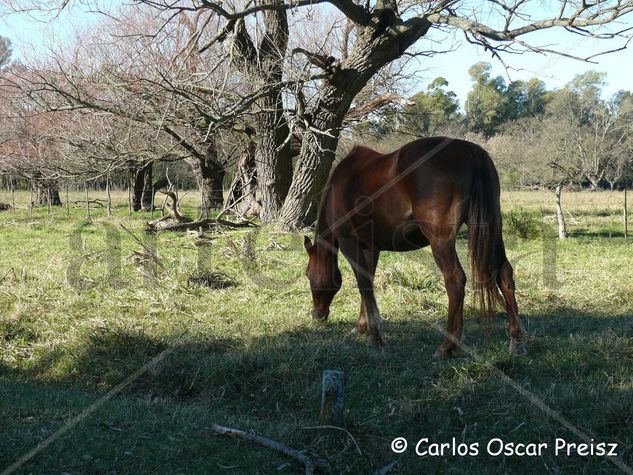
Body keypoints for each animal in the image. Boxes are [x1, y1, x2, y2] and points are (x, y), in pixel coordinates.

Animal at [302, 136, 524, 358]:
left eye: (308, 274)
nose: (317, 315)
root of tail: (471, 151)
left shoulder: (350, 244)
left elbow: (363, 284)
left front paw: (375, 336)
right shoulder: (370, 248)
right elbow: (368, 282)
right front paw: (362, 326)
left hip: (441, 241)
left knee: (455, 280)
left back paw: (447, 346)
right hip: (491, 229)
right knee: (504, 274)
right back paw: (516, 340)